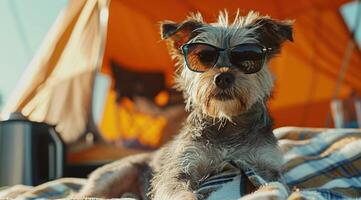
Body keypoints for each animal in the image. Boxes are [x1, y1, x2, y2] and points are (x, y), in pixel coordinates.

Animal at [77, 11, 292, 200]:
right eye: (203, 57)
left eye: (247, 57)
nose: (223, 77)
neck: (227, 122)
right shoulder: (182, 167)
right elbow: (178, 190)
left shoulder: (265, 168)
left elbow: (275, 185)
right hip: (118, 173)